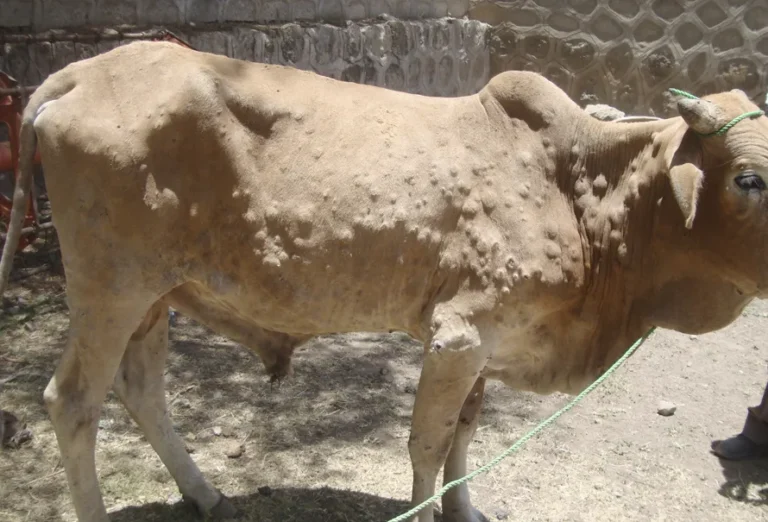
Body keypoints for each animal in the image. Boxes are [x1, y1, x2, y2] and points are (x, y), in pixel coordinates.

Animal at [1, 40, 767, 522]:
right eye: (748, 178)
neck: (581, 186)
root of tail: (79, 74)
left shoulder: (490, 343)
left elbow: (463, 436)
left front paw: (465, 509)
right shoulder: (460, 337)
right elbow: (428, 442)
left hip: (153, 293)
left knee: (141, 389)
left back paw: (208, 495)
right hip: (110, 287)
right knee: (72, 401)